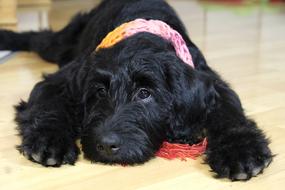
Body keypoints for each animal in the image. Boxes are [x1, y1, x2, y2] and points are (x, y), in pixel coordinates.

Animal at [0, 0, 270, 181]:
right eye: (100, 91)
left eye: (144, 93)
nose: (106, 145)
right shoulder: (61, 81)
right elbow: (48, 106)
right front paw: (49, 140)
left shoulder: (213, 84)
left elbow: (230, 113)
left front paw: (240, 150)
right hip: (61, 44)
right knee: (38, 37)